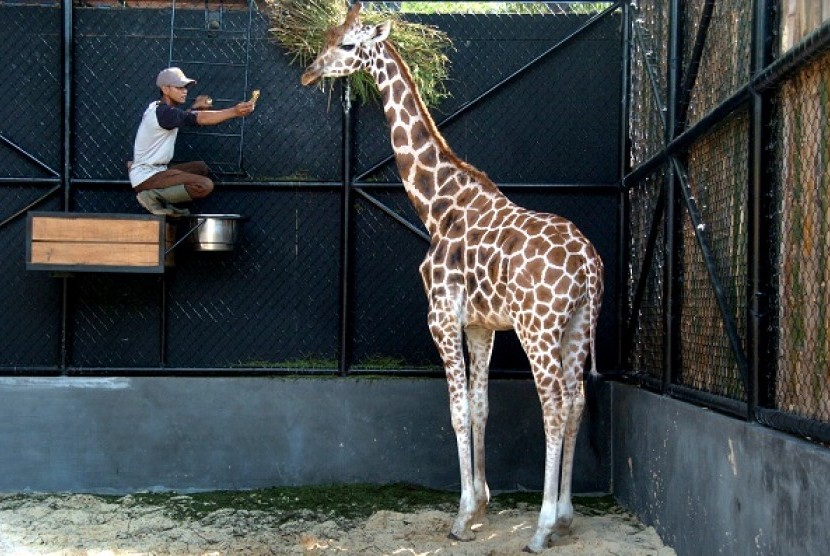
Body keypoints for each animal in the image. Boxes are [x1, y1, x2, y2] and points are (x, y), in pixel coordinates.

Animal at [302, 4, 600, 552]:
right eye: (328, 36)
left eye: (348, 46)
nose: (309, 72)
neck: (438, 208)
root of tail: (590, 264)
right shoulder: (481, 324)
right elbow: (480, 407)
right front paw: (481, 504)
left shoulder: (441, 315)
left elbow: (457, 409)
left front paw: (462, 516)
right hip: (577, 325)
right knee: (576, 402)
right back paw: (567, 516)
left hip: (538, 328)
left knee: (554, 404)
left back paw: (543, 526)